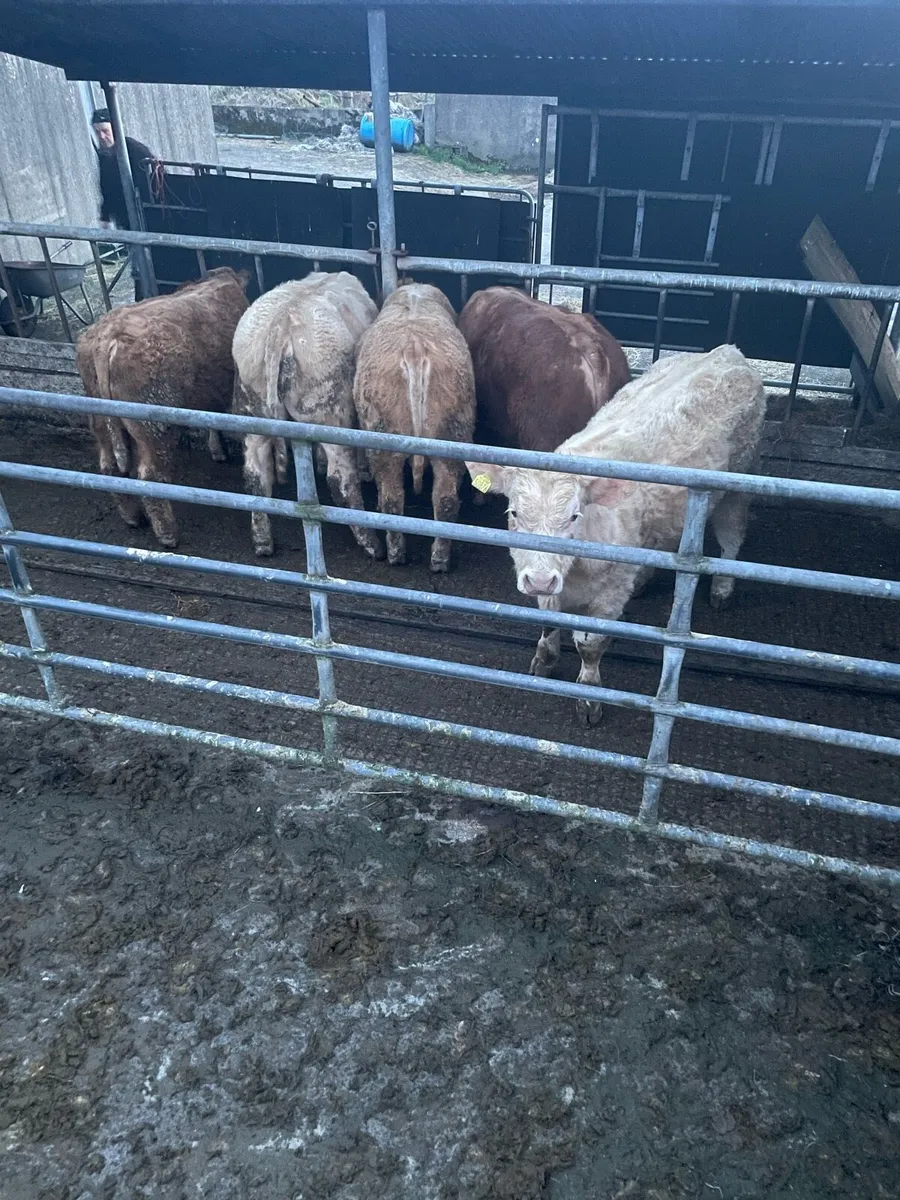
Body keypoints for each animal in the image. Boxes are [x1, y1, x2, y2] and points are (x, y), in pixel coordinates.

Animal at [76, 266, 250, 548]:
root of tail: (107, 338)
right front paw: (219, 451)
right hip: (155, 425)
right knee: (150, 476)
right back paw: (168, 535)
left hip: (101, 422)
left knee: (109, 466)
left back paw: (133, 518)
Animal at [231, 271, 381, 559]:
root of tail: (279, 326)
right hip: (331, 413)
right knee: (340, 479)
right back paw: (370, 542)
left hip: (253, 413)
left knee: (254, 474)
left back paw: (263, 541)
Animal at [353, 282, 476, 572]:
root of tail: (415, 350)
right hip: (452, 435)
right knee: (445, 500)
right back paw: (439, 560)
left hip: (384, 441)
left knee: (391, 500)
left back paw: (396, 554)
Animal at [465, 345, 766, 726]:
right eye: (514, 513)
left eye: (574, 516)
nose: (540, 580)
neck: (575, 570)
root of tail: (727, 351)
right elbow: (548, 623)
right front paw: (544, 661)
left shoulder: (609, 593)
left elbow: (590, 646)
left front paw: (589, 699)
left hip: (741, 480)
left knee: (731, 536)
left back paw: (723, 589)